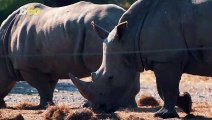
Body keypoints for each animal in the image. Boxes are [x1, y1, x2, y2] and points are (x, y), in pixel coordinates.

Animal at [69, 0, 212, 118]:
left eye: (111, 77)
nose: (97, 109)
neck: (130, 38)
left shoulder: (166, 60)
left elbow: (167, 88)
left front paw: (163, 114)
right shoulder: (161, 59)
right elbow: (162, 88)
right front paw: (186, 103)